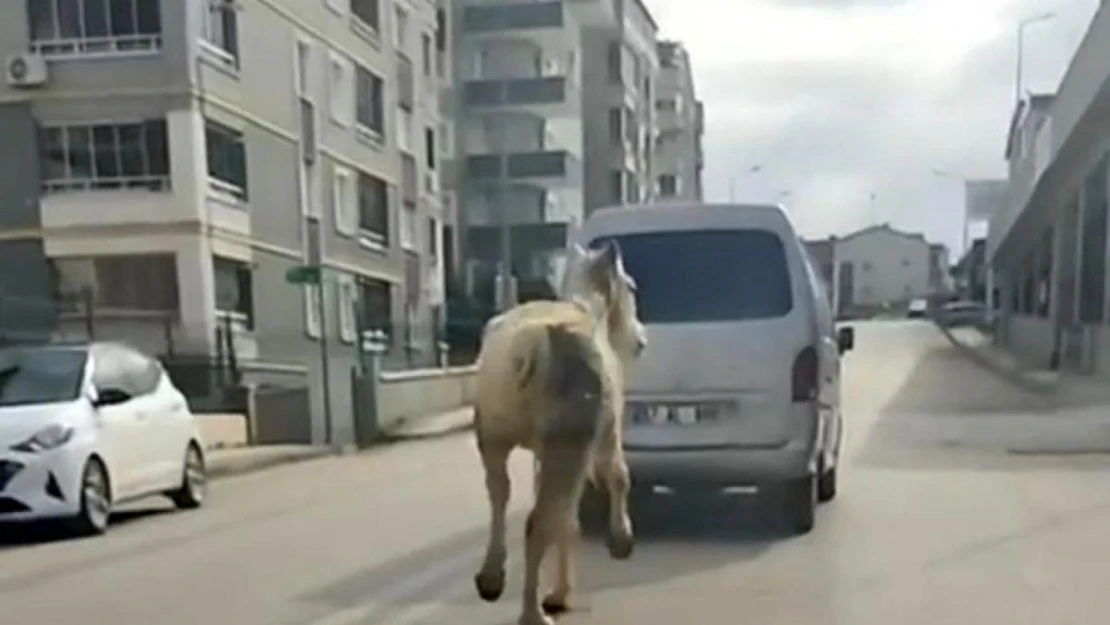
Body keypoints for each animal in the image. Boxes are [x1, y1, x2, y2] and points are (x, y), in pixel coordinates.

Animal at [472, 240, 648, 625]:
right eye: (630, 286)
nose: (641, 340)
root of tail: (528, 349)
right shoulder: (603, 435)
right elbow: (619, 476)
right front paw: (622, 541)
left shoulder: (543, 452)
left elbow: (567, 519)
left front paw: (559, 593)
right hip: (566, 445)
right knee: (538, 522)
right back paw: (532, 614)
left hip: (494, 437)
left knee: (500, 497)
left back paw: (491, 579)